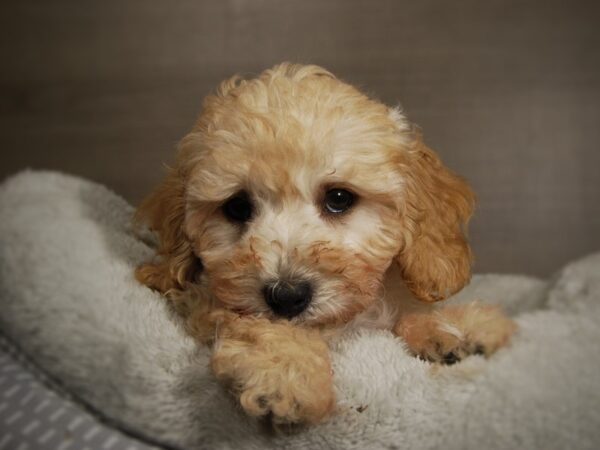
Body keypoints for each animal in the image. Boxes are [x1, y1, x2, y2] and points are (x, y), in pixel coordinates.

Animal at [135, 62, 516, 426]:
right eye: (237, 207)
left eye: (338, 198)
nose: (287, 296)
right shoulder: (201, 297)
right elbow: (255, 323)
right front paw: (287, 371)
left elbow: (403, 320)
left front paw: (460, 328)